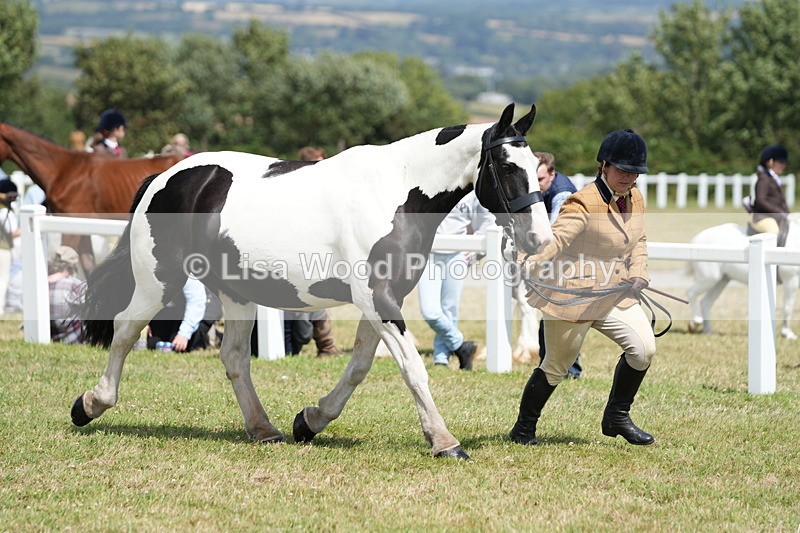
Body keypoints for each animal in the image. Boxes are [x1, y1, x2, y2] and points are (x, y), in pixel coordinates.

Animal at [70, 103, 554, 459]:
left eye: (536, 165)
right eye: (507, 166)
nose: (539, 238)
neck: (398, 192)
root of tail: (166, 177)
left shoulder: (383, 300)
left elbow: (359, 367)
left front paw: (311, 420)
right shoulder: (377, 299)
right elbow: (412, 369)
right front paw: (444, 441)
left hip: (235, 291)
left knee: (233, 357)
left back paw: (263, 429)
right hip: (159, 281)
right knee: (125, 332)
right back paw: (91, 404)